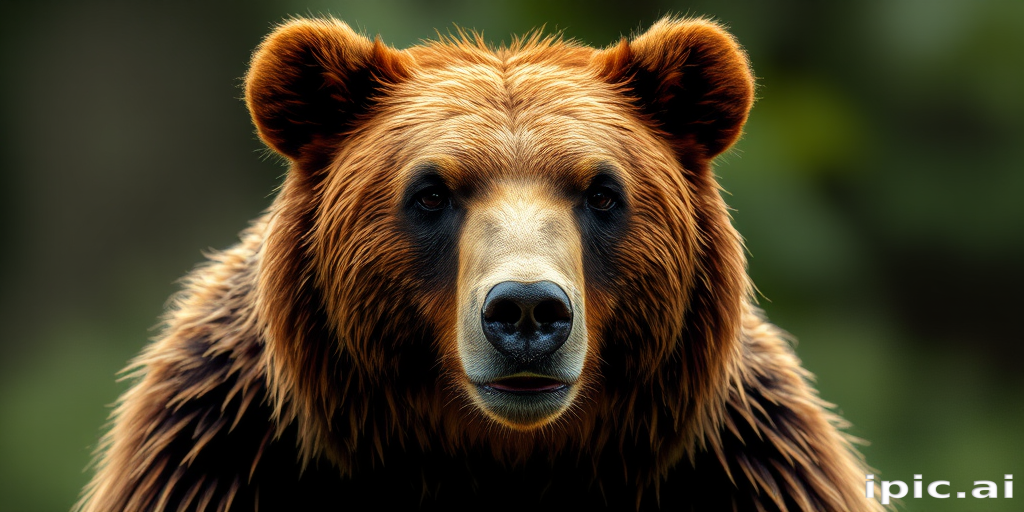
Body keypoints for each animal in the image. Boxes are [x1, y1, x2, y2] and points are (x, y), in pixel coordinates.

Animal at [74, 16, 882, 512]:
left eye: (602, 191)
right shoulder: (224, 452)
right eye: (431, 192)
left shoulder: (741, 466)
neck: (488, 455)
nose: (526, 309)